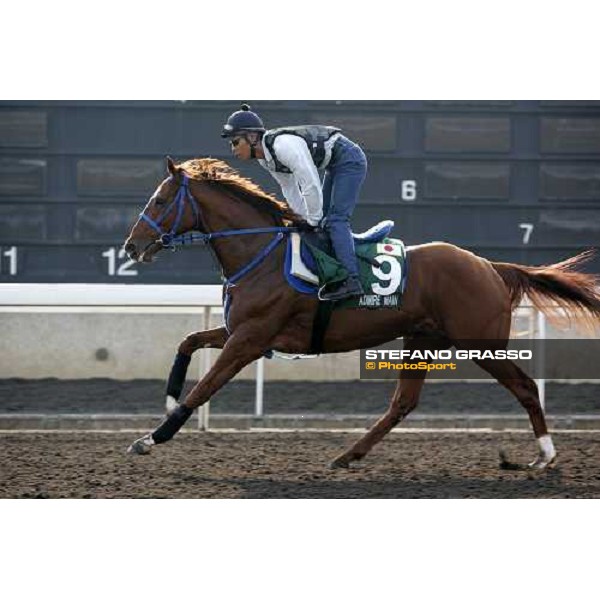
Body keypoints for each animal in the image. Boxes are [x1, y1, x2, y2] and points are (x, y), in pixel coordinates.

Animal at [123, 157, 600, 472]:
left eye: (161, 200)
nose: (131, 246)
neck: (262, 252)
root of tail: (491, 266)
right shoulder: (240, 330)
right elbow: (187, 343)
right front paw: (168, 397)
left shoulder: (250, 339)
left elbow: (204, 388)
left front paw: (150, 437)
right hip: (422, 340)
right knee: (403, 403)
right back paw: (348, 454)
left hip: (479, 343)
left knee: (525, 387)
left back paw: (545, 456)